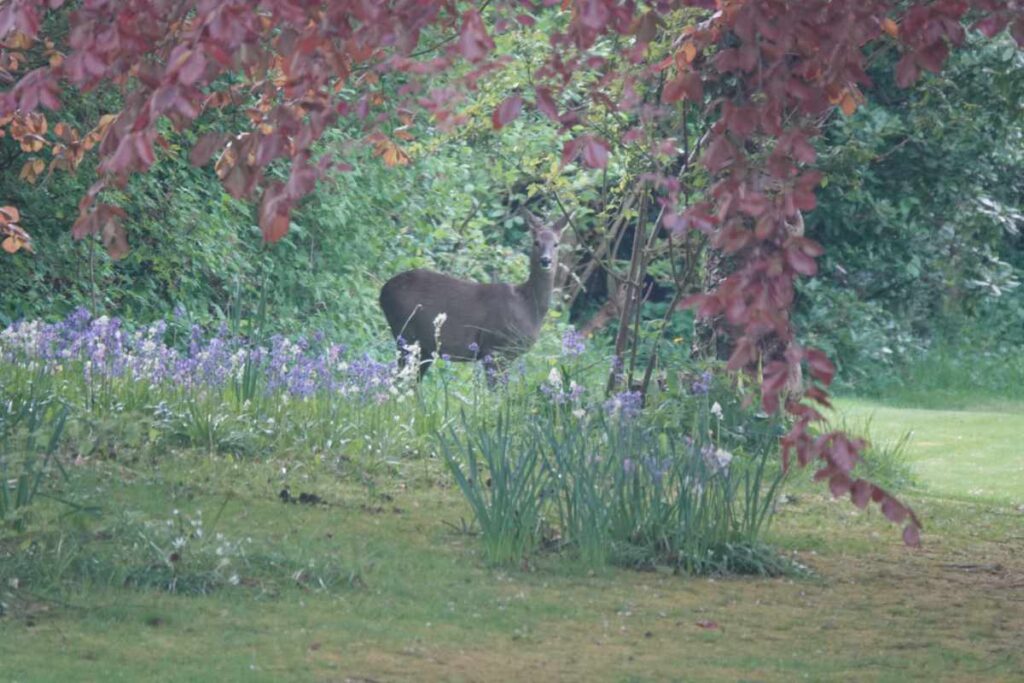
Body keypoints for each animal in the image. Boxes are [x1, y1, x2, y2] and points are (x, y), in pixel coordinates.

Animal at [378, 210, 573, 376]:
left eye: (556, 244)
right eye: (536, 242)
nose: (546, 260)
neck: (527, 305)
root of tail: (383, 291)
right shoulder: (494, 348)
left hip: (422, 346)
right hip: (406, 331)